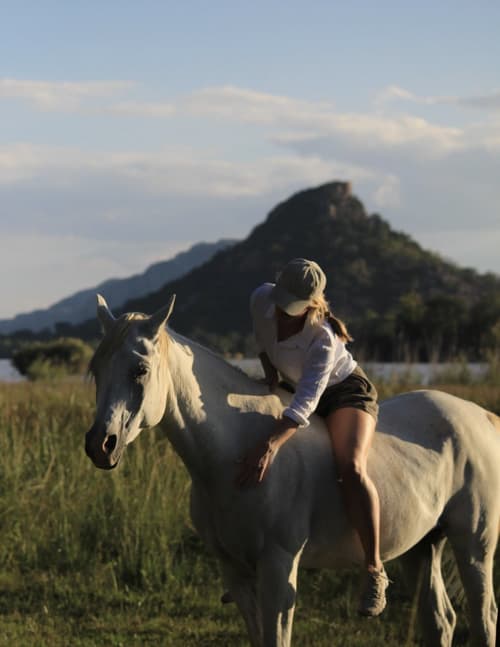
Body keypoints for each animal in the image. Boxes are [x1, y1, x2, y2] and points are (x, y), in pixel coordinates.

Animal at [85, 294, 500, 647]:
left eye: (140, 369)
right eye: (96, 368)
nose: (100, 444)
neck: (234, 456)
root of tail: (481, 416)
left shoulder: (278, 570)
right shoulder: (235, 573)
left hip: (474, 547)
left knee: (484, 618)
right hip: (423, 545)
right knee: (441, 621)